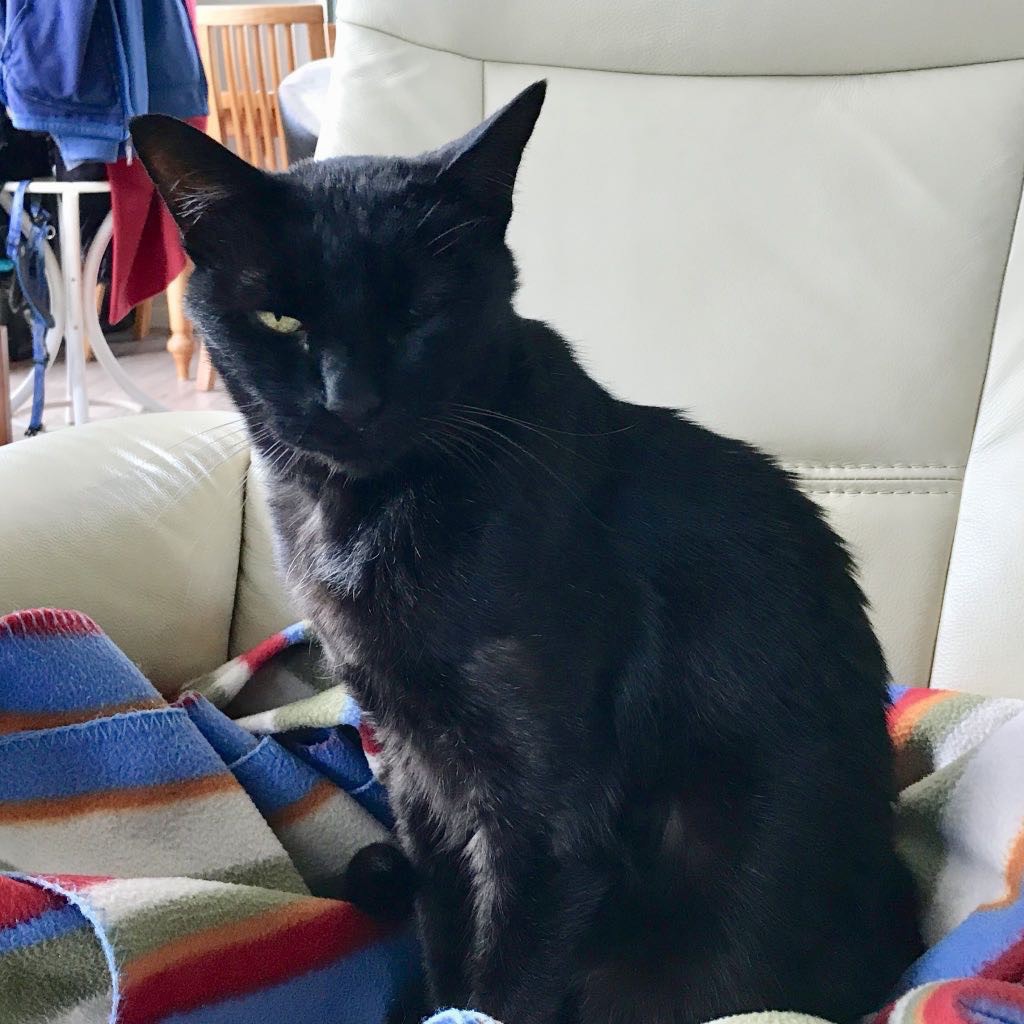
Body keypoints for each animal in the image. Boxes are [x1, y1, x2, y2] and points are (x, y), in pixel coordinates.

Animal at [134, 86, 921, 1024]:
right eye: (280, 318)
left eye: (417, 310)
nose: (349, 400)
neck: (361, 518)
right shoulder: (412, 763)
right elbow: (445, 925)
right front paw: (438, 992)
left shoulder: (547, 807)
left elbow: (508, 974)